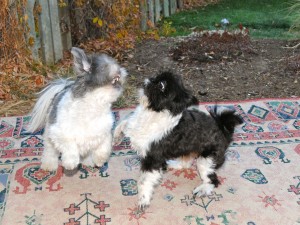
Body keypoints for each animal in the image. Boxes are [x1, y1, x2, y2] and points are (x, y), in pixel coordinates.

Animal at [113, 71, 243, 210]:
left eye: (162, 85)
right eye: (156, 77)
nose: (148, 80)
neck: (151, 113)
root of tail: (224, 130)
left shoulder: (152, 159)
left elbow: (144, 181)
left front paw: (143, 200)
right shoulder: (133, 125)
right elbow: (124, 123)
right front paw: (116, 137)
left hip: (206, 160)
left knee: (212, 179)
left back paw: (203, 189)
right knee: (186, 163)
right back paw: (171, 164)